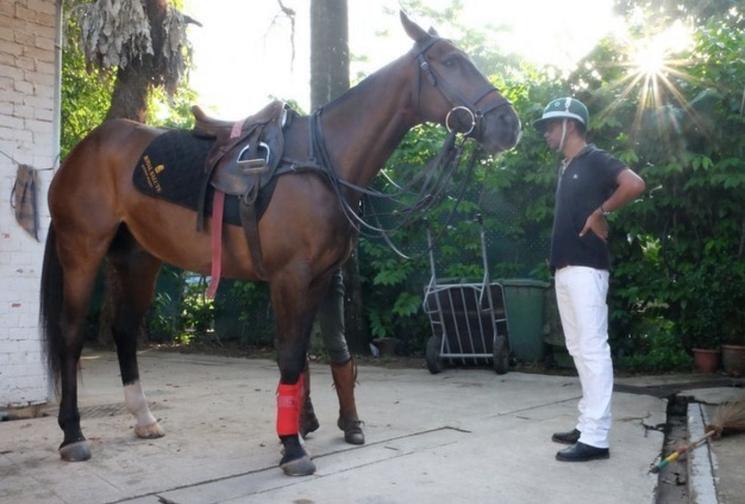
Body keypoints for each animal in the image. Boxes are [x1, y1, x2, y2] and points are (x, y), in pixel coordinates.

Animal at [40, 11, 521, 477]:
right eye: (451, 61)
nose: (508, 124)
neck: (319, 163)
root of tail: (81, 151)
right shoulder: (291, 277)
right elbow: (290, 356)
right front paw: (292, 447)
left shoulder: (319, 279)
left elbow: (307, 354)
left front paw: (303, 431)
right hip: (82, 252)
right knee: (71, 335)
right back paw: (72, 436)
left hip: (139, 260)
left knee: (123, 331)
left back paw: (143, 419)